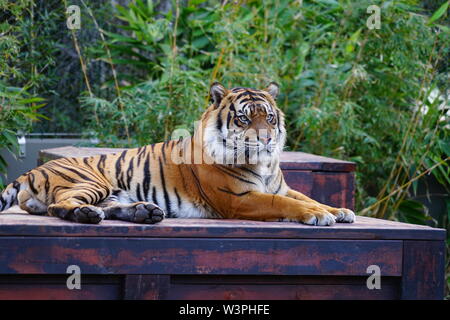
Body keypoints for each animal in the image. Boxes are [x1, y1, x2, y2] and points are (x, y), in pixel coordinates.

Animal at [0, 81, 356, 225]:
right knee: (60, 205)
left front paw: (338, 210)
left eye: (268, 117)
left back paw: (144, 213)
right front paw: (318, 215)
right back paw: (87, 216)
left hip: (111, 192)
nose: (268, 141)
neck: (266, 165)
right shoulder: (239, 197)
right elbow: (284, 204)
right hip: (89, 182)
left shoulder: (280, 187)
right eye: (244, 119)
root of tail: (32, 170)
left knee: (106, 207)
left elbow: (306, 197)